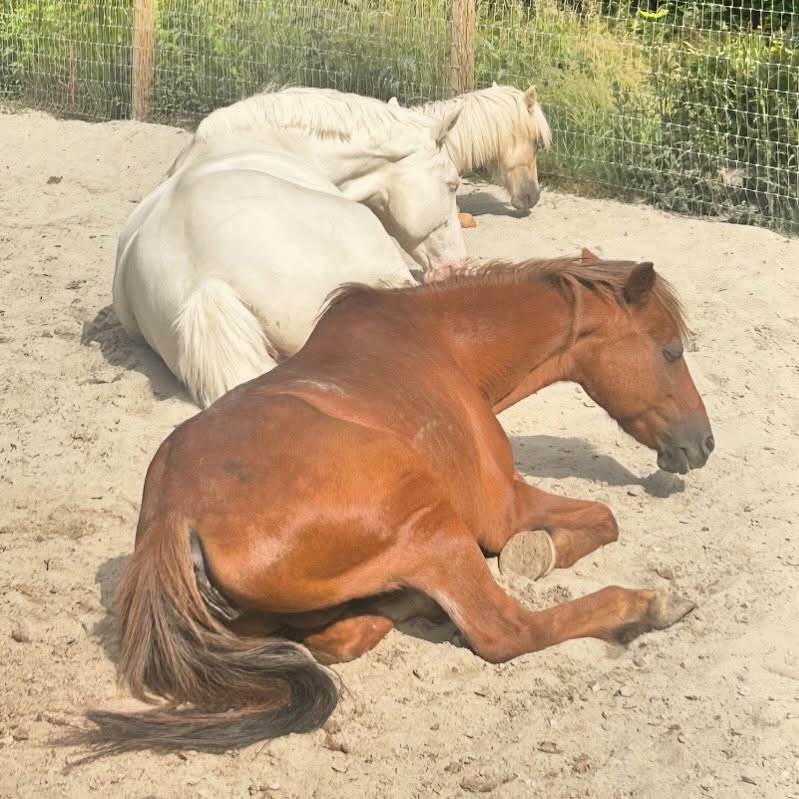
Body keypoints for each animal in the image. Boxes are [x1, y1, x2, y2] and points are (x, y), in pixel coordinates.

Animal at [73, 252, 714, 757]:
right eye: (670, 351)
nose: (703, 443)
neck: (443, 346)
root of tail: (172, 517)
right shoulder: (502, 507)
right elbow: (603, 519)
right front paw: (537, 553)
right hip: (433, 523)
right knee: (504, 630)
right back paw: (645, 606)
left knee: (335, 638)